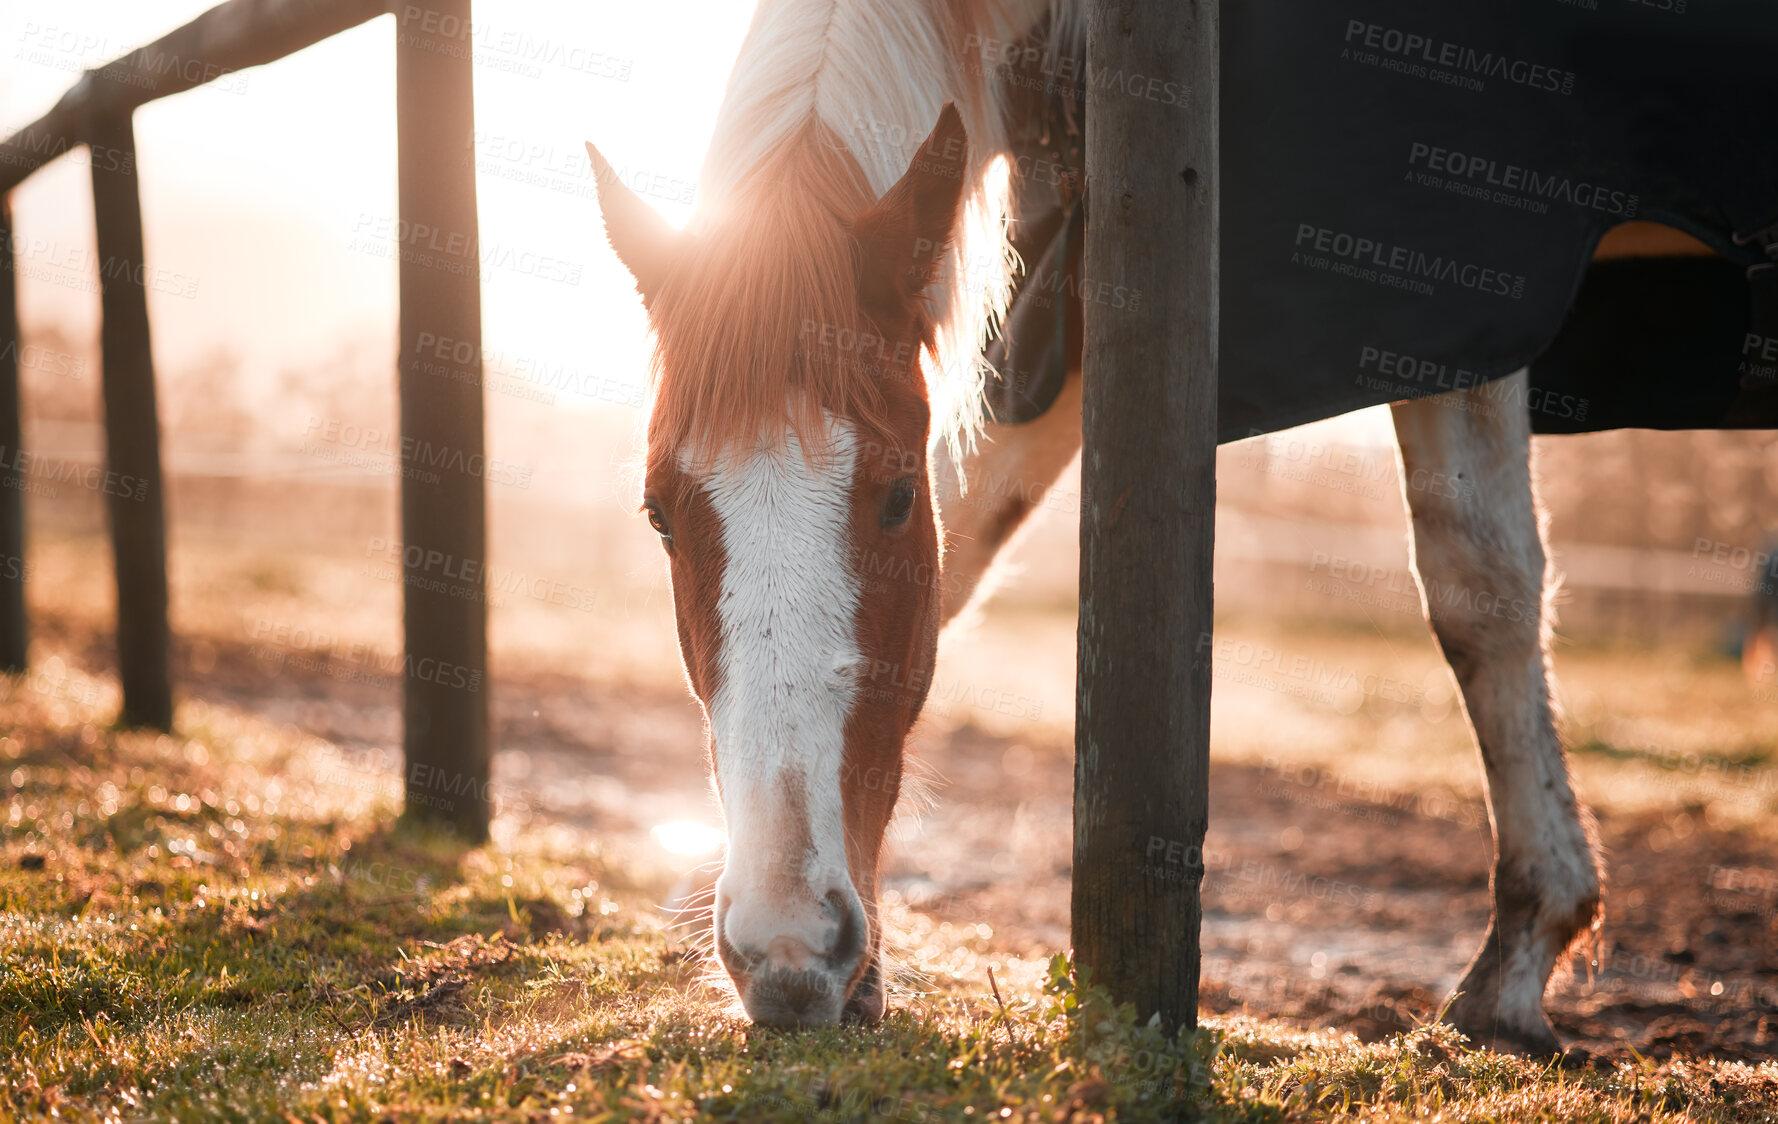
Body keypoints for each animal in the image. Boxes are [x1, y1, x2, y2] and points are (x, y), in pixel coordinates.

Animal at [590, 0, 1607, 1052]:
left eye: (898, 495)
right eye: (659, 514)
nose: (785, 946)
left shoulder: (1459, 313)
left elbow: (1481, 584)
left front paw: (1519, 962)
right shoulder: (1061, 301)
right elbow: (962, 555)